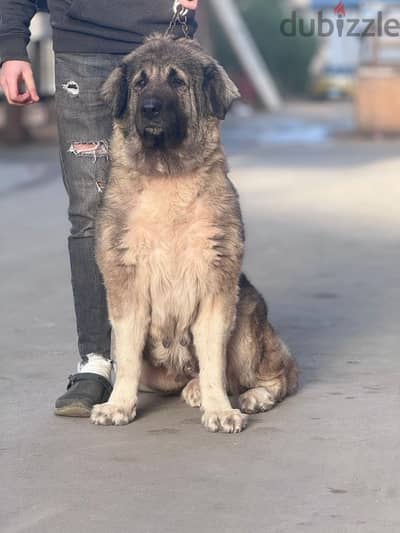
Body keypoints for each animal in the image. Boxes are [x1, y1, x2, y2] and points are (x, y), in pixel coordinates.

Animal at [90, 34, 296, 432]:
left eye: (177, 82)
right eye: (139, 84)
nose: (150, 108)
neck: (167, 177)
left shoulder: (217, 284)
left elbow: (214, 358)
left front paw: (220, 410)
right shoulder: (126, 286)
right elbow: (127, 356)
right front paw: (118, 405)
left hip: (247, 315)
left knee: (281, 374)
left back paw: (249, 395)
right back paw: (193, 386)